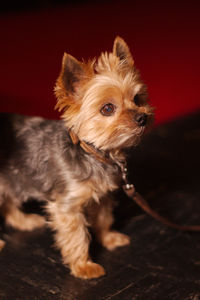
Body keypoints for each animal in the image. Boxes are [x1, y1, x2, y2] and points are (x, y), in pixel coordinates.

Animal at [0, 37, 153, 278]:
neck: (93, 152)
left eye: (137, 98)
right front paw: (84, 266)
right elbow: (77, 237)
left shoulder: (102, 196)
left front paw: (109, 238)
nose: (142, 118)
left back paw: (25, 221)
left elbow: (103, 218)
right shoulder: (67, 206)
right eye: (107, 108)